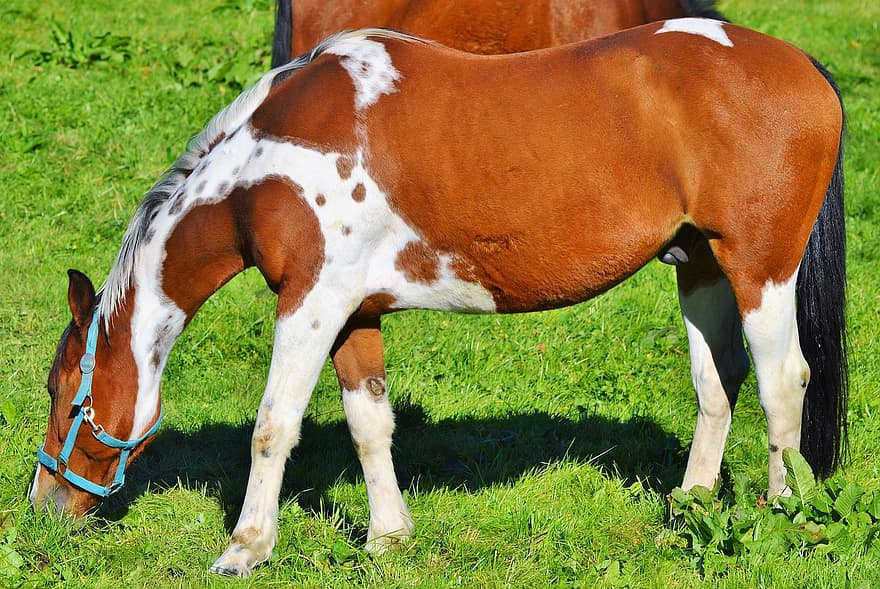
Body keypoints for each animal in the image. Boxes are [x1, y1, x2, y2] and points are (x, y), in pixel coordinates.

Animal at [32, 20, 844, 576]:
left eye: (64, 393)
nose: (45, 506)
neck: (269, 163)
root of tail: (803, 64)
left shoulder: (310, 304)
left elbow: (273, 426)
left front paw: (245, 548)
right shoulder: (354, 312)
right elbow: (369, 424)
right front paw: (388, 535)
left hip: (759, 270)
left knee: (781, 385)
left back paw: (787, 515)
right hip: (698, 264)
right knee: (716, 383)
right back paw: (692, 508)